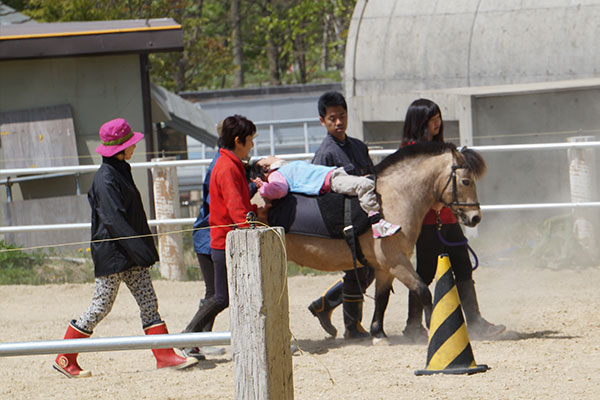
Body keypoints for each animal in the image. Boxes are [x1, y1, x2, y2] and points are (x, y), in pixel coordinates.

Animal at [258, 141, 488, 340]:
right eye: (466, 181)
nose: (475, 217)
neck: (395, 198)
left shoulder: (385, 267)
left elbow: (382, 298)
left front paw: (378, 332)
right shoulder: (396, 261)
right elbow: (422, 291)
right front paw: (434, 326)